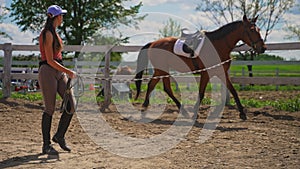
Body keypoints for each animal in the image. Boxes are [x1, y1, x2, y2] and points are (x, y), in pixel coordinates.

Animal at [135, 14, 266, 120]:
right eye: (252, 30)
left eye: (259, 29)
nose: (263, 48)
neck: (218, 45)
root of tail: (153, 43)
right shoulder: (205, 74)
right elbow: (201, 93)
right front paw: (195, 113)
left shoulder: (222, 73)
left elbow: (233, 91)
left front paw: (242, 113)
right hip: (161, 70)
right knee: (155, 85)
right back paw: (146, 108)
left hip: (163, 70)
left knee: (162, 87)